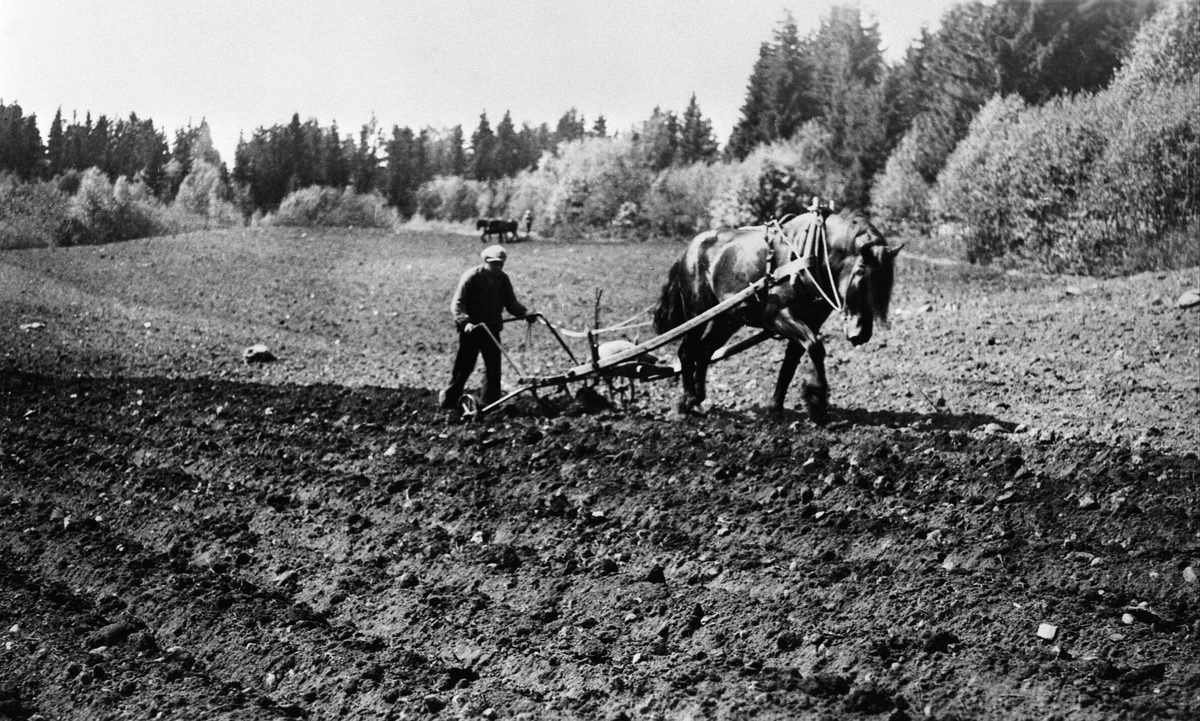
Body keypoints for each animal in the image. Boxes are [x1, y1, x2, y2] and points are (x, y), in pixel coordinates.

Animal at [657, 207, 902, 422]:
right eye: (861, 276)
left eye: (884, 287)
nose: (860, 335)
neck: (810, 254)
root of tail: (689, 248)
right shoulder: (776, 316)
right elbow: (815, 348)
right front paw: (816, 401)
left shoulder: (810, 323)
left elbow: (790, 366)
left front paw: (777, 409)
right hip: (696, 312)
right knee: (687, 351)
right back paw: (689, 401)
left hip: (727, 318)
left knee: (704, 351)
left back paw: (699, 398)